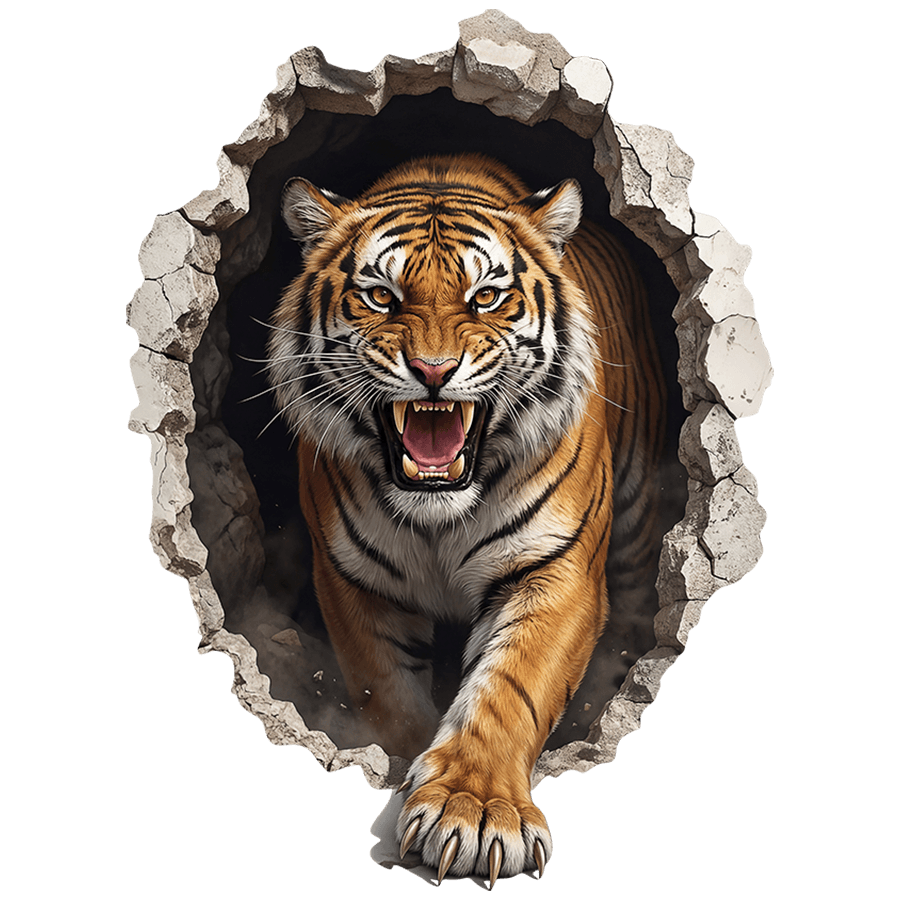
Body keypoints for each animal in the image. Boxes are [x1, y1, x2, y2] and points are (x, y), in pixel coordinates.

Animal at [266, 154, 664, 885]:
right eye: (381, 296)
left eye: (485, 297)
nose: (432, 370)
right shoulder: (353, 583)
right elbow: (389, 696)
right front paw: (406, 775)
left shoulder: (556, 572)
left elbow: (510, 690)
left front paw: (471, 810)